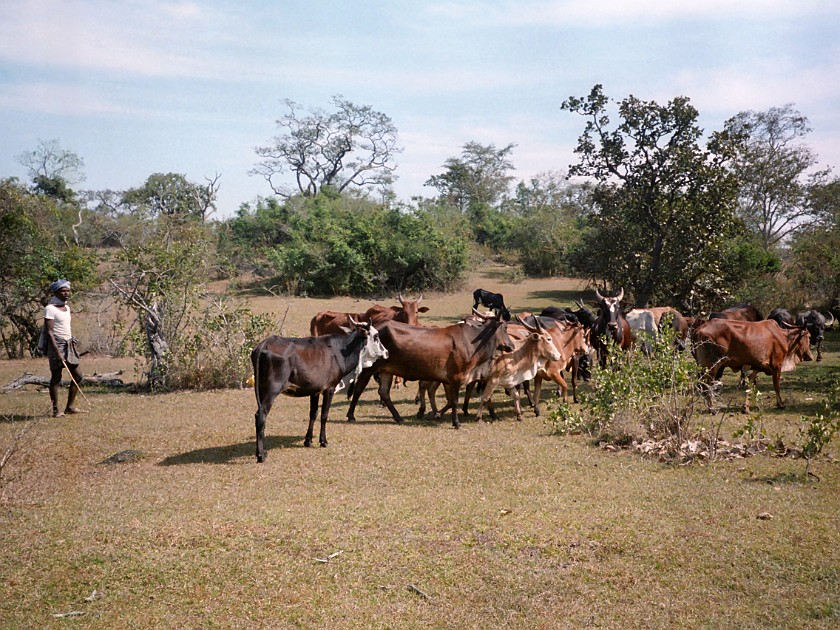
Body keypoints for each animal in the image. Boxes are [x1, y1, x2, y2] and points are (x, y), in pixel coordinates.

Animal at [251, 320, 388, 464]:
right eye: (376, 336)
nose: (387, 352)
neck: (341, 351)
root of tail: (265, 344)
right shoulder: (330, 389)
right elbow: (324, 415)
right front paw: (323, 441)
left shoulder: (315, 391)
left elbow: (313, 413)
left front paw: (308, 440)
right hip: (272, 390)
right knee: (261, 415)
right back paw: (261, 455)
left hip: (261, 389)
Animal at [346, 312, 516, 430]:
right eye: (505, 327)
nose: (511, 346)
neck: (472, 342)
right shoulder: (456, 377)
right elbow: (454, 400)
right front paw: (456, 423)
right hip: (370, 367)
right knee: (359, 388)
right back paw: (351, 415)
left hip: (387, 370)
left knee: (384, 392)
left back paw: (398, 417)